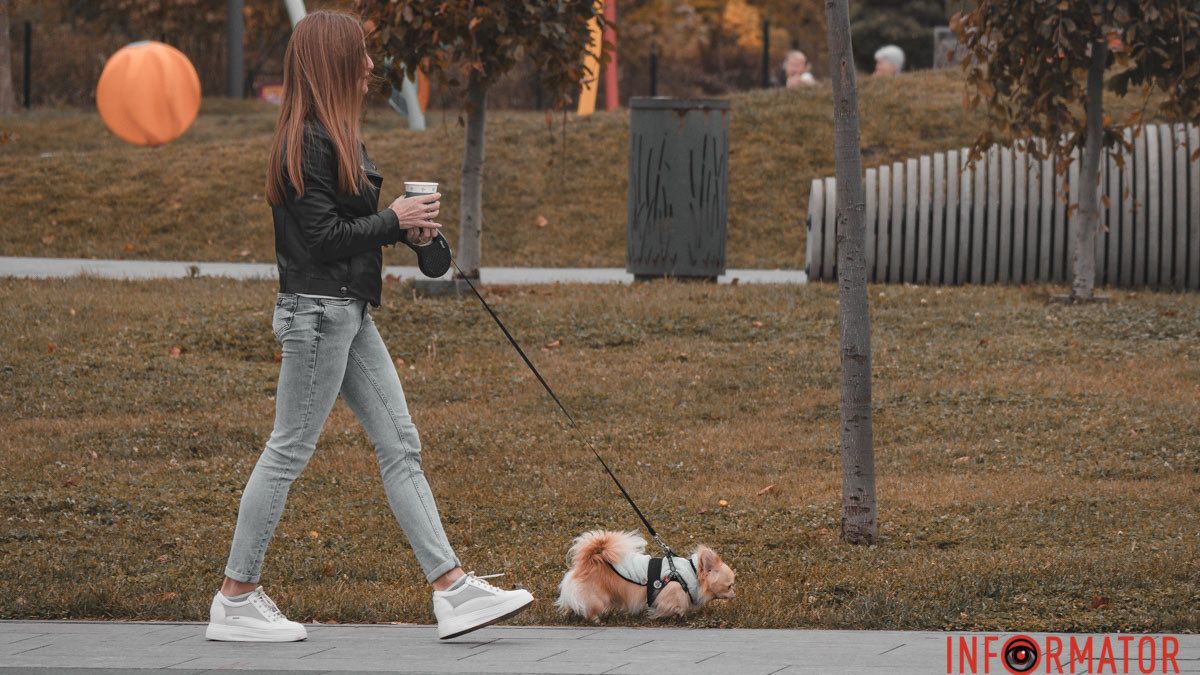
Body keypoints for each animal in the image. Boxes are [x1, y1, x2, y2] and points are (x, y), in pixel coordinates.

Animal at [556, 528, 734, 619]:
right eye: (729, 586)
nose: (734, 593)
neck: (692, 575)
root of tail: (590, 560)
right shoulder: (671, 592)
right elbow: (675, 606)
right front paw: (674, 615)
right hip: (597, 597)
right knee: (590, 609)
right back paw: (596, 619)